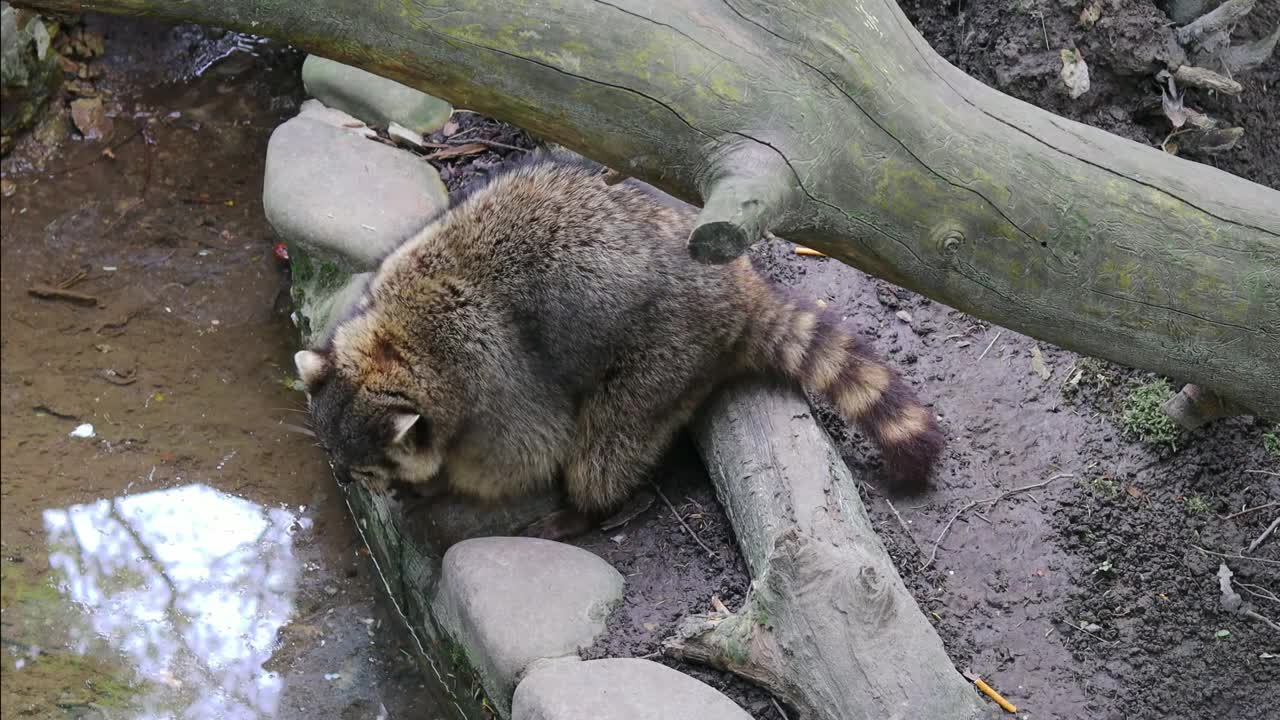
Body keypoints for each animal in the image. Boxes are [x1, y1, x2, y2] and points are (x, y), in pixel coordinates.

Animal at [296, 151, 942, 530]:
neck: (398, 344)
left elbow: (532, 450)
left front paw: (444, 485)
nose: (348, 482)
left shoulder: (494, 379)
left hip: (667, 350)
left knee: (603, 448)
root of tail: (740, 288)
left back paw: (592, 504)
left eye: (366, 469)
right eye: (338, 460)